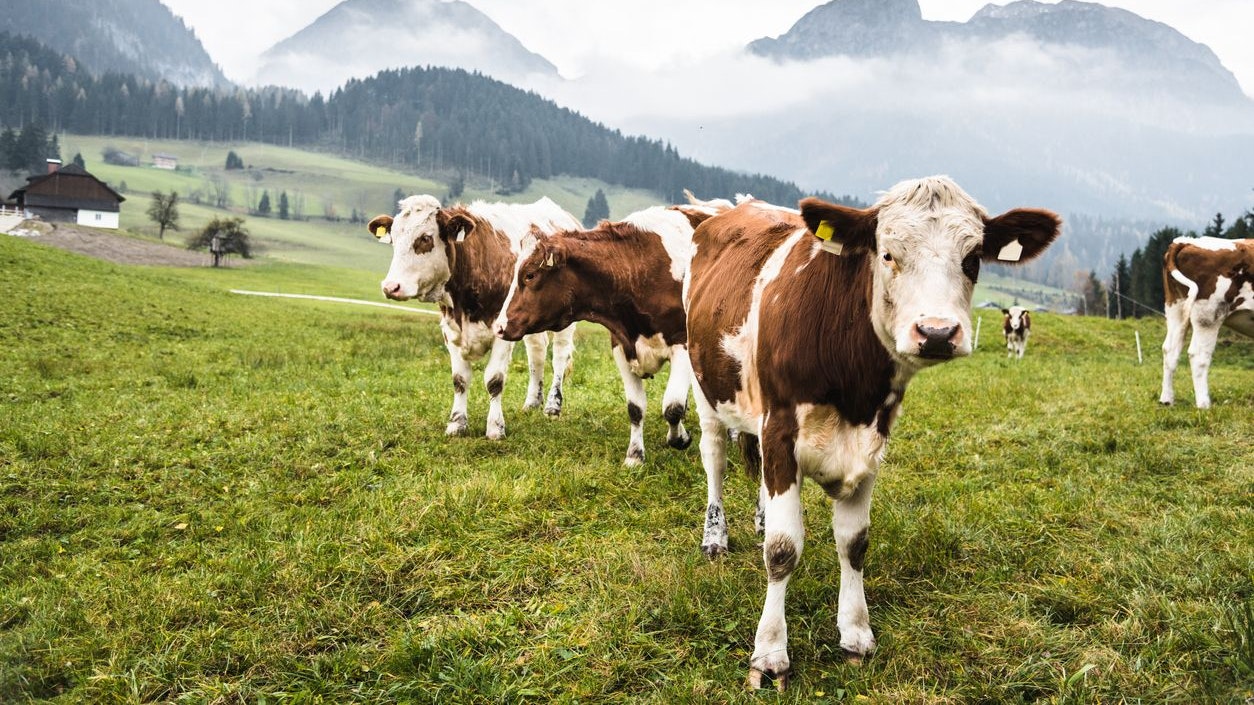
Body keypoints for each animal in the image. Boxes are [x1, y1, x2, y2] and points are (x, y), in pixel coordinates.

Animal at [368, 195, 581, 440]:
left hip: (564, 321)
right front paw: (456, 423)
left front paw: (495, 428)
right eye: (394, 238)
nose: (390, 287)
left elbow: (494, 380)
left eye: (425, 238)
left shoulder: (501, 330)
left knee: (559, 356)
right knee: (536, 353)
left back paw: (553, 406)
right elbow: (459, 380)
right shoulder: (450, 330)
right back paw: (532, 402)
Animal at [493, 196, 733, 465]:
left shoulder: (681, 344)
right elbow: (635, 408)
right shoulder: (620, 344)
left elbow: (672, 407)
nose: (499, 327)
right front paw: (635, 456)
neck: (638, 269)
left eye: (530, 275)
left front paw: (680, 438)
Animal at [683, 176, 1060, 690]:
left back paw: (760, 517)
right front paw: (770, 653)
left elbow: (854, 542)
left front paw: (856, 634)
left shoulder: (871, 439)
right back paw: (715, 536)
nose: (937, 333)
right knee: (716, 458)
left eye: (973, 258)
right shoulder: (780, 428)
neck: (851, 384)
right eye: (886, 254)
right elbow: (783, 549)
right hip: (706, 387)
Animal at [1159, 236, 1254, 409]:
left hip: (1176, 308)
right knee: (1198, 355)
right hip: (1208, 315)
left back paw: (1167, 400)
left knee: (1170, 350)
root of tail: (1186, 242)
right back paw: (1204, 404)